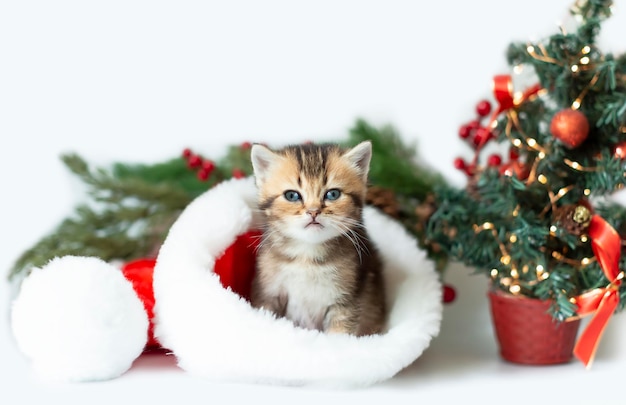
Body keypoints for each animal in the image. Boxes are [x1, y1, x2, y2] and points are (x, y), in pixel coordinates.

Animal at [249, 140, 386, 336]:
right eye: (292, 195)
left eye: (333, 194)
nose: (313, 212)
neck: (307, 257)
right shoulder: (268, 292)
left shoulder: (347, 302)